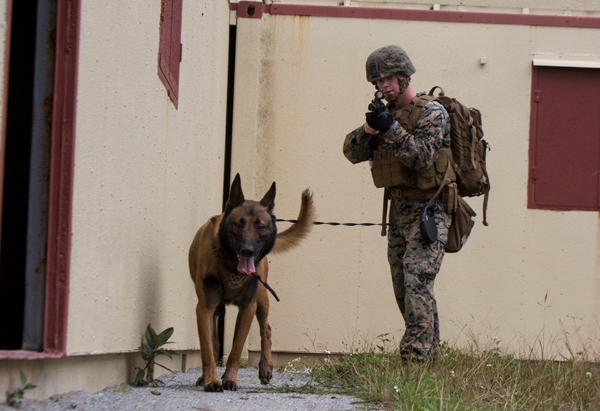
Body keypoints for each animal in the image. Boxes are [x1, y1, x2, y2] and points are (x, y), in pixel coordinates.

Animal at [189, 174, 316, 392]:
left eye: (260, 226)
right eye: (237, 224)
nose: (247, 250)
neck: (232, 268)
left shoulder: (248, 308)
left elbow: (236, 349)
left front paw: (230, 378)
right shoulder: (205, 307)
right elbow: (208, 347)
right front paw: (211, 380)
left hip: (262, 300)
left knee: (266, 329)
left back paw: (265, 368)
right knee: (216, 341)